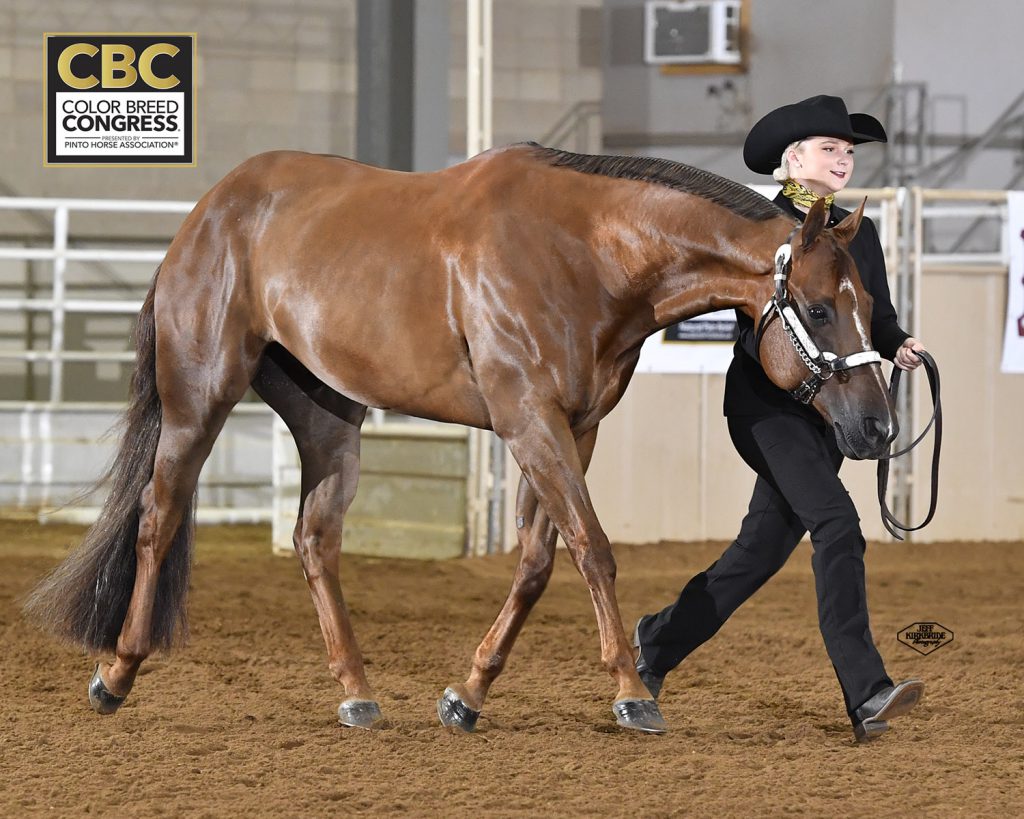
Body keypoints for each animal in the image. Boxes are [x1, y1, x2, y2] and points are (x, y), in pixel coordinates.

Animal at [24, 142, 897, 737]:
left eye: (864, 302)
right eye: (819, 308)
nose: (877, 425)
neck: (586, 250)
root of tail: (209, 211)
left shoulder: (573, 427)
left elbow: (541, 559)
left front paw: (467, 694)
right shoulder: (528, 418)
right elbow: (592, 546)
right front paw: (630, 691)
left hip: (327, 416)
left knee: (314, 539)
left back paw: (357, 691)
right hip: (198, 395)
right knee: (158, 515)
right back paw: (116, 672)